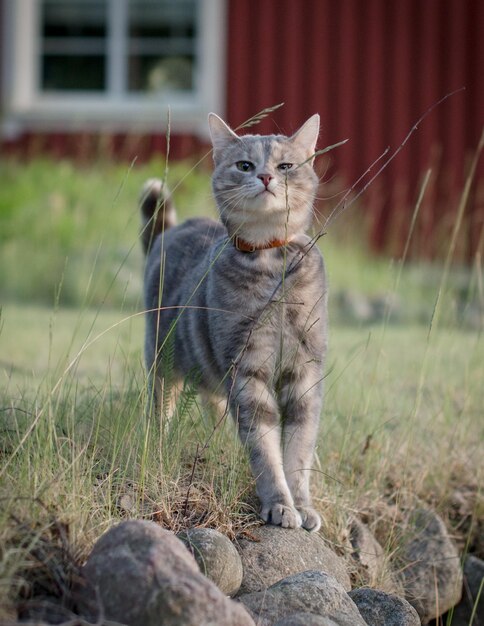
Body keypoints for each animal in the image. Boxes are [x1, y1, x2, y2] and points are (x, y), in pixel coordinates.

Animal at [141, 113, 328, 532]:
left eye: (285, 166)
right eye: (244, 165)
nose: (265, 176)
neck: (272, 262)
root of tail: (172, 229)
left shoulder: (304, 373)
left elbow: (298, 452)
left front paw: (302, 504)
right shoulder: (248, 371)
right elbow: (266, 450)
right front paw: (279, 504)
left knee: (214, 404)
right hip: (164, 362)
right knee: (163, 409)